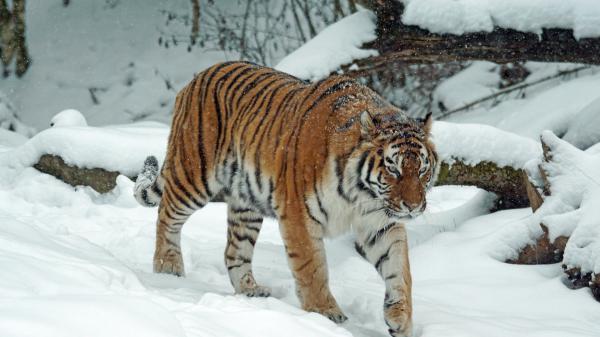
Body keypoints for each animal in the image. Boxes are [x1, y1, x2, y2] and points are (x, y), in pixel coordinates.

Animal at [134, 61, 438, 336]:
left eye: (422, 169)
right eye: (393, 169)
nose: (413, 207)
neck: (361, 194)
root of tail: (197, 77)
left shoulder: (380, 222)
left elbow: (399, 268)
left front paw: (400, 318)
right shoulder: (299, 215)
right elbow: (312, 268)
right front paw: (324, 315)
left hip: (246, 204)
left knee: (234, 250)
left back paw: (251, 291)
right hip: (194, 174)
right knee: (166, 215)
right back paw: (167, 268)